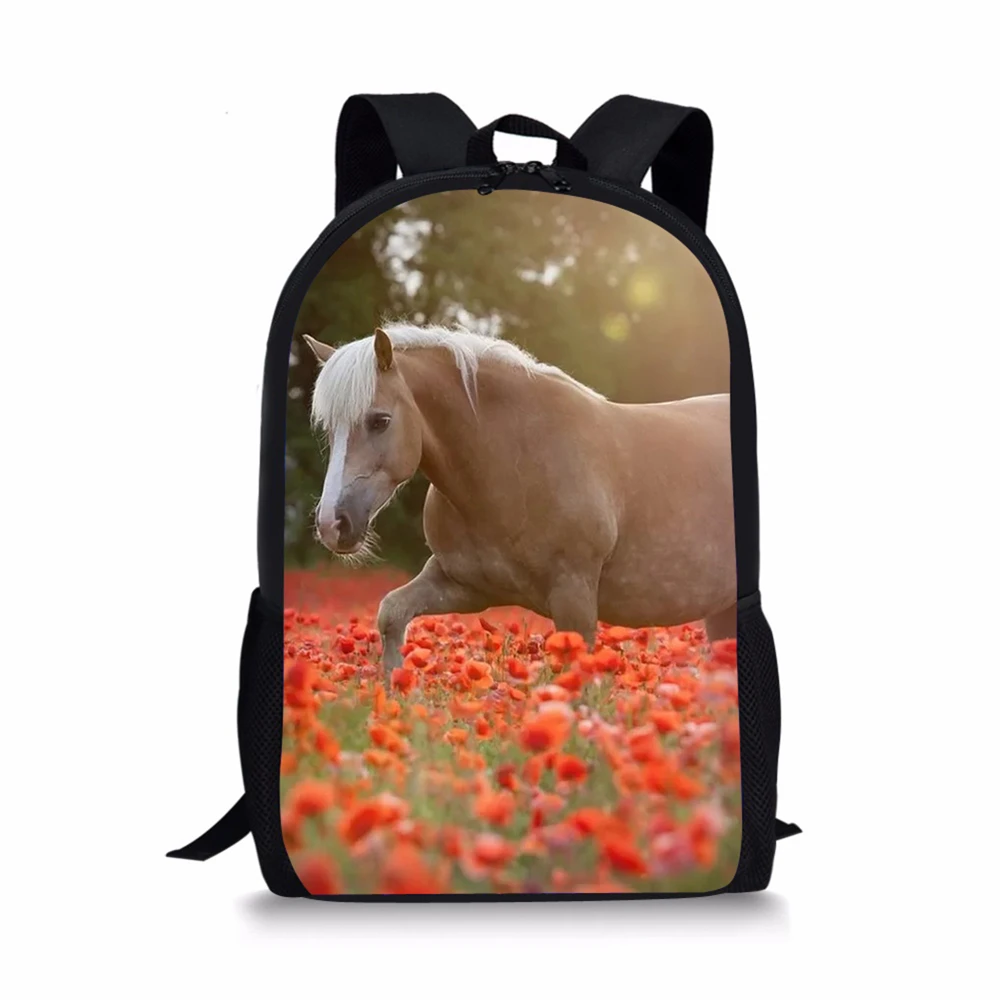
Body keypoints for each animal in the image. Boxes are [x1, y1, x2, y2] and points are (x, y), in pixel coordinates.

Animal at [303, 323, 736, 679]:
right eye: (330, 428)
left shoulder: (574, 597)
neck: (516, 460)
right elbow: (391, 612)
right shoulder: (463, 586)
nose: (332, 524)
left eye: (380, 421)